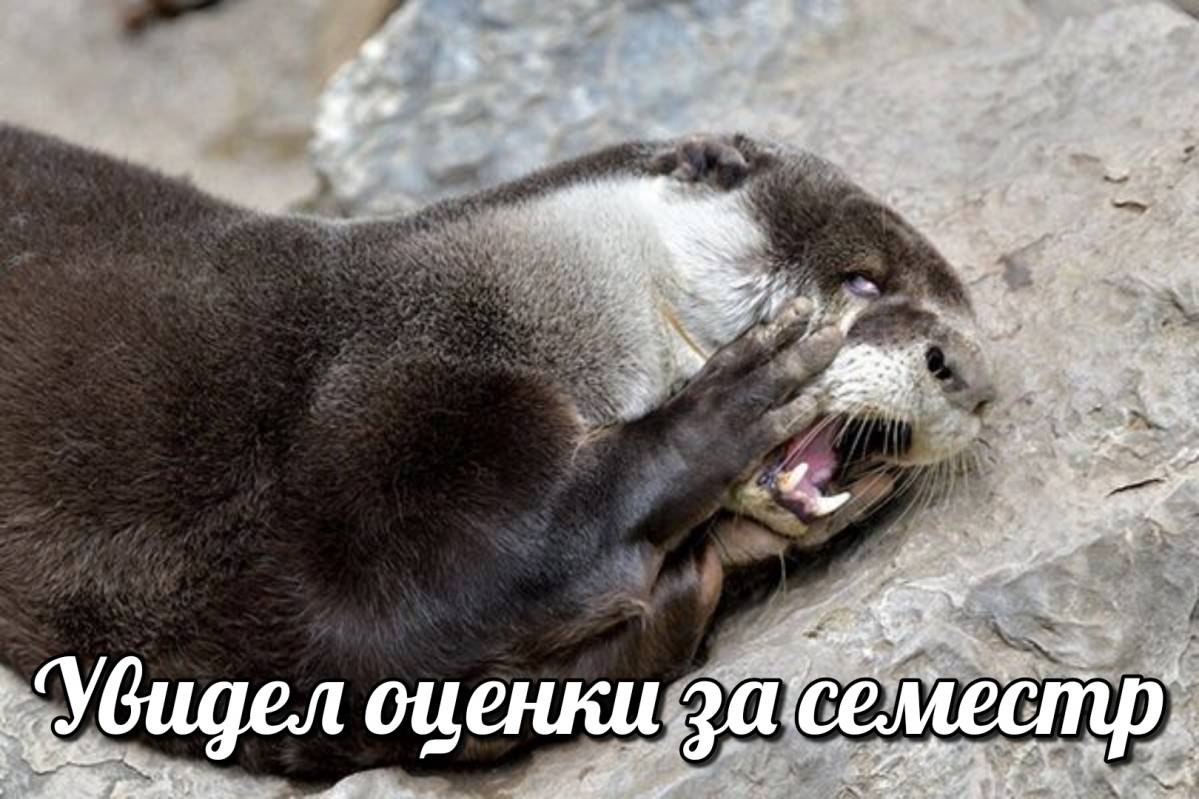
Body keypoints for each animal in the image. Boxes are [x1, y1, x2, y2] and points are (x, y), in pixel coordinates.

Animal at [0, 127, 992, 775]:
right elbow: (395, 601)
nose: (974, 376)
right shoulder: (358, 409)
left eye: (968, 314)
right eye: (861, 281)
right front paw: (731, 404)